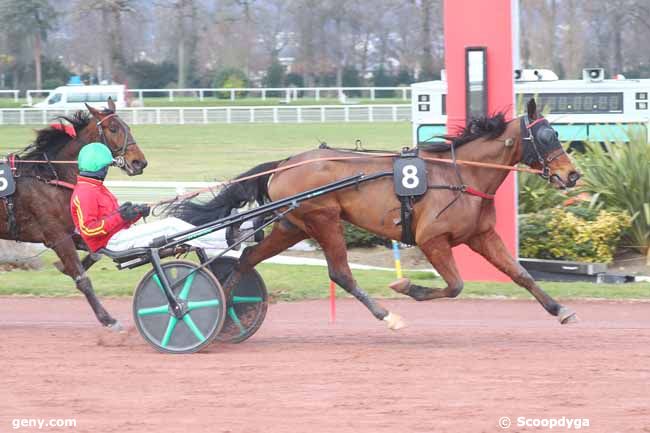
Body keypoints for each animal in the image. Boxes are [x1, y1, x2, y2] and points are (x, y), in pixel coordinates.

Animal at [0, 99, 147, 330]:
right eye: (113, 128)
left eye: (128, 127)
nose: (139, 162)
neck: (50, 178)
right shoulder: (57, 236)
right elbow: (82, 278)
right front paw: (108, 319)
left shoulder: (68, 232)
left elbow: (95, 253)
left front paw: (62, 266)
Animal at [172, 99, 581, 329]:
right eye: (548, 137)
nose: (572, 174)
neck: (461, 174)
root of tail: (285, 164)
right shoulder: (433, 239)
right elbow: (455, 286)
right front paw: (407, 287)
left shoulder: (482, 235)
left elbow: (520, 274)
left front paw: (561, 309)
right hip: (324, 220)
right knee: (340, 273)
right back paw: (387, 316)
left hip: (292, 225)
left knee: (248, 257)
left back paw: (223, 307)